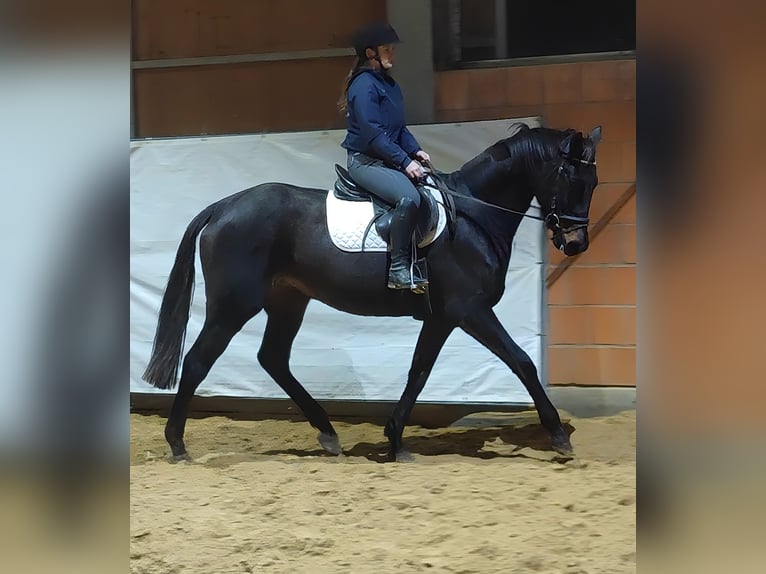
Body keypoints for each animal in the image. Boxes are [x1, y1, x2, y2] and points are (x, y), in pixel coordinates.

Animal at [142, 123, 602, 462]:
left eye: (594, 182)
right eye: (569, 176)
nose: (576, 243)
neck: (473, 215)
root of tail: (222, 207)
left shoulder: (442, 317)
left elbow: (419, 372)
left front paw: (395, 439)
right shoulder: (470, 310)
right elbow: (522, 362)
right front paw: (559, 437)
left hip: (288, 301)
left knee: (272, 358)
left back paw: (328, 435)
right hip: (235, 305)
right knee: (198, 361)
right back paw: (177, 445)